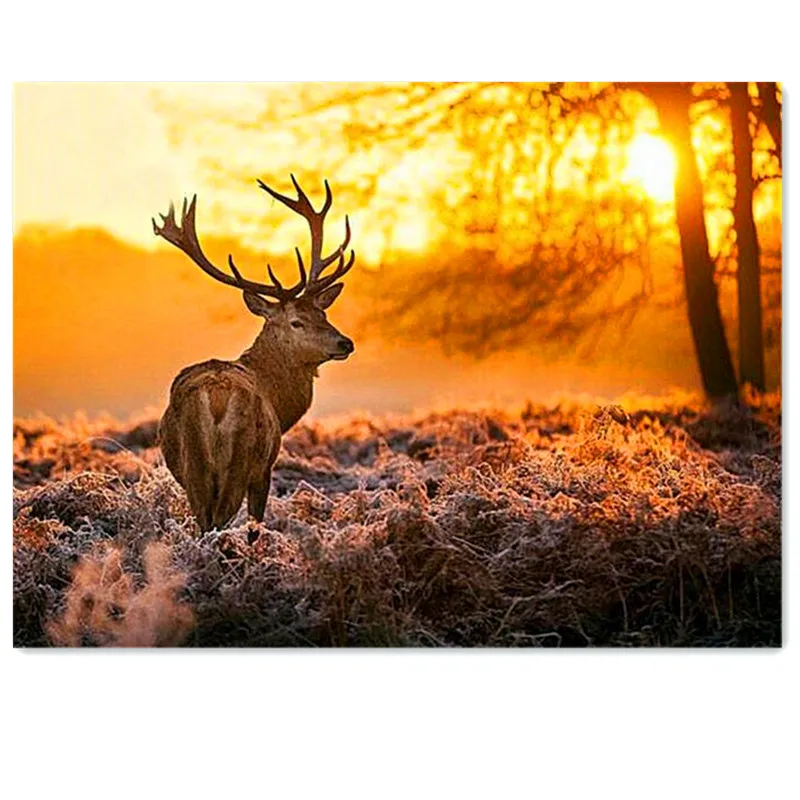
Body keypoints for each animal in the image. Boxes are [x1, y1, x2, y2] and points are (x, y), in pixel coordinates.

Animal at [152, 176, 355, 532]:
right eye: (297, 322)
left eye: (324, 314)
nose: (345, 343)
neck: (279, 401)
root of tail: (216, 397)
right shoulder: (265, 468)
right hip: (241, 460)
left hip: (195, 469)